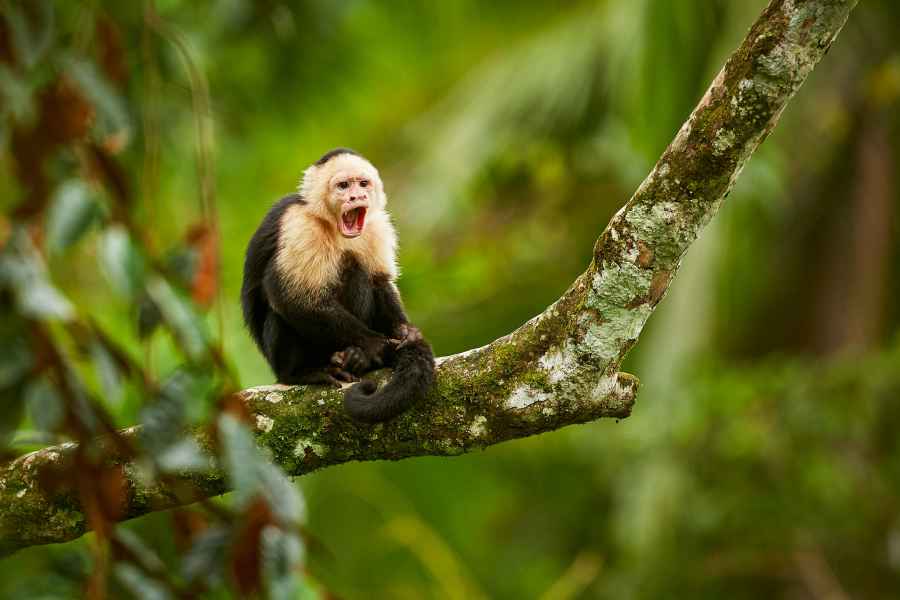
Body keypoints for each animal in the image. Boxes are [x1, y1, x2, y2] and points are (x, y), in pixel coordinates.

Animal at [240, 148, 435, 423]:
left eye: (363, 184)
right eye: (343, 186)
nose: (357, 196)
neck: (333, 226)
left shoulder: (377, 226)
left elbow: (380, 281)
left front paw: (405, 332)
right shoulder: (299, 226)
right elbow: (291, 296)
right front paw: (377, 346)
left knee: (357, 269)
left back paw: (355, 358)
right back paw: (302, 373)